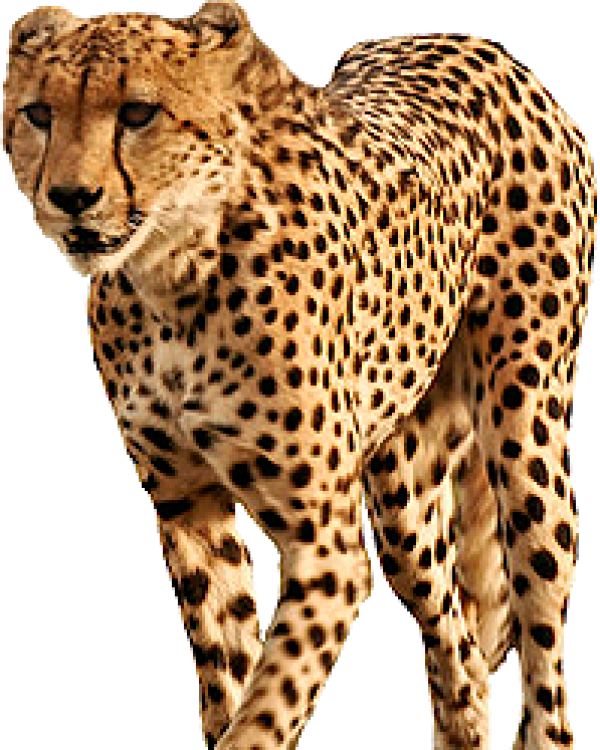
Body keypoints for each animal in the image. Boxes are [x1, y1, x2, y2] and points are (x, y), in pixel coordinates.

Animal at [3, 3, 595, 747]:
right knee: (456, 650)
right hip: (404, 496)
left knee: (542, 623)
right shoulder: (187, 508)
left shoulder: (325, 545)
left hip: (525, 429)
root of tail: (474, 43)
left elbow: (269, 703)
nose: (71, 196)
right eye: (39, 114)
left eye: (138, 113)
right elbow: (231, 671)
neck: (175, 277)